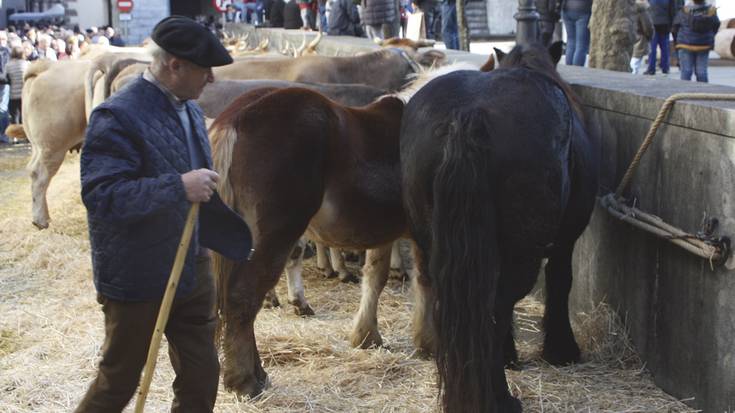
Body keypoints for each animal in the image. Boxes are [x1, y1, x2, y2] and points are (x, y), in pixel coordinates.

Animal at [402, 42, 600, 412]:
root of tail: (468, 115)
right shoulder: (566, 237)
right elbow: (560, 280)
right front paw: (560, 350)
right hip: (523, 247)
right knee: (495, 307)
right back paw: (498, 398)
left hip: (435, 241)